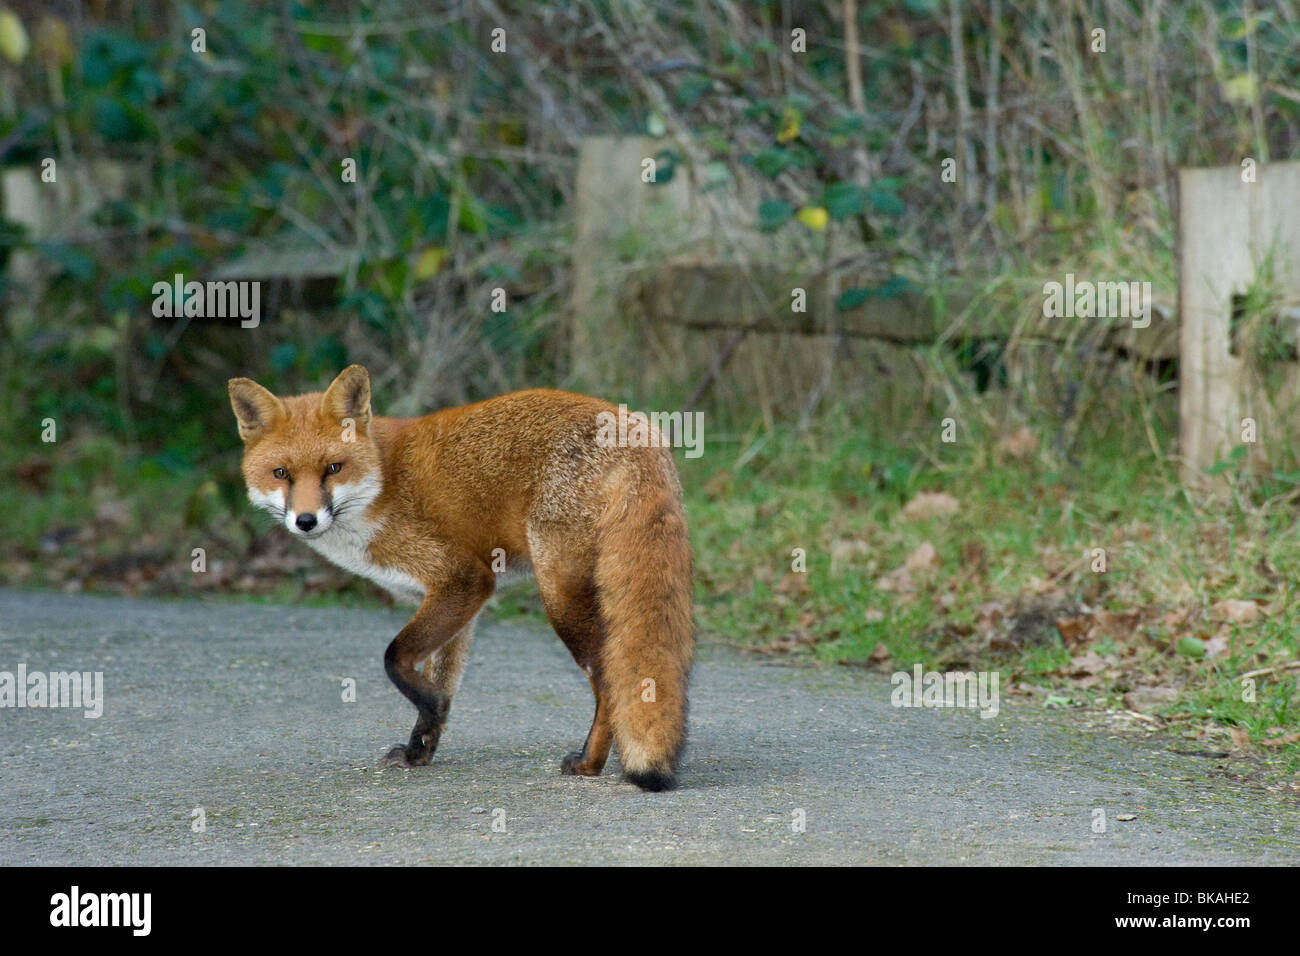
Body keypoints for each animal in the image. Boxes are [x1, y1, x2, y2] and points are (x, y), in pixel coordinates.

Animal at [227, 365, 694, 791]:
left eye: (333, 468)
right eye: (281, 473)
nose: (305, 520)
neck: (381, 485)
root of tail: (637, 428)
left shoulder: (464, 579)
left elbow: (395, 660)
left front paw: (431, 713)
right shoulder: (457, 604)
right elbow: (438, 681)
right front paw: (419, 749)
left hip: (560, 596)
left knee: (607, 682)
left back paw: (588, 764)